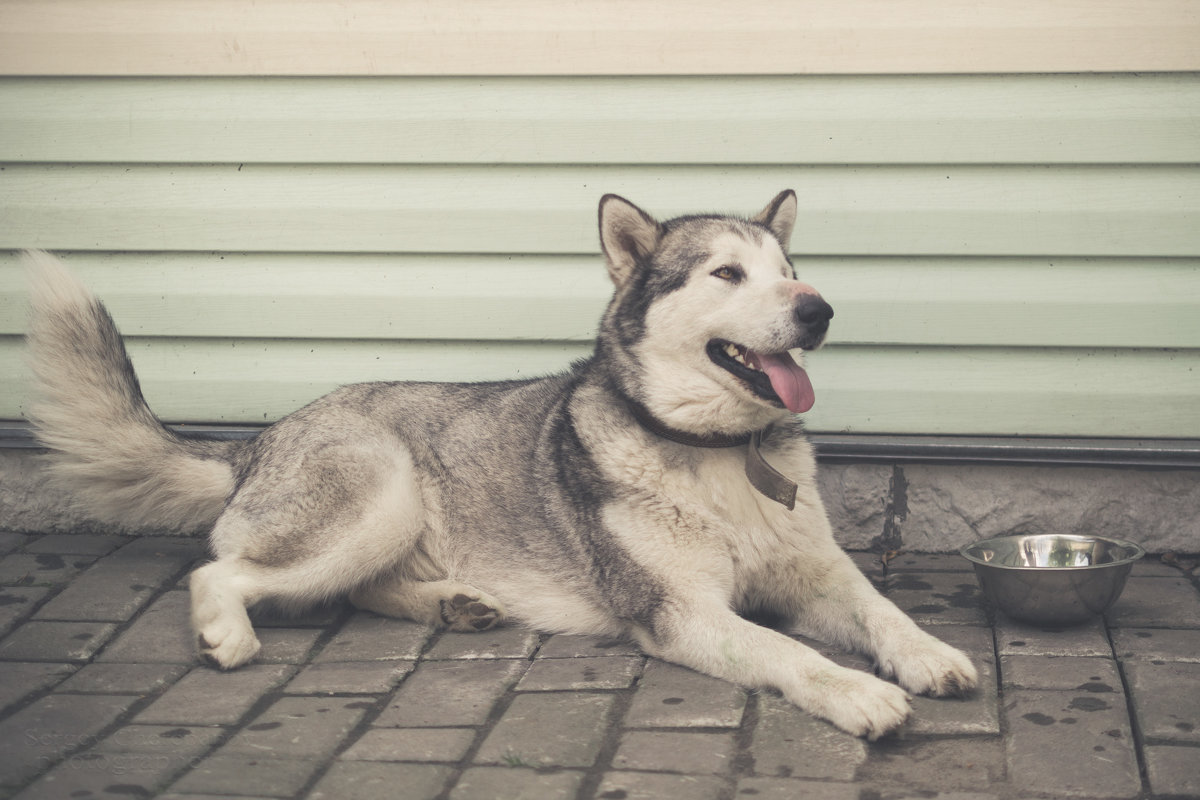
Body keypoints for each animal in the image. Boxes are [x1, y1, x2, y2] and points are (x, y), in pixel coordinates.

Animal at [23, 191, 974, 738]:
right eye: (728, 273)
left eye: (790, 269)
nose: (818, 309)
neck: (716, 454)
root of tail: (260, 437)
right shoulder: (681, 612)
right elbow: (789, 652)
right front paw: (858, 693)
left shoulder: (818, 573)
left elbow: (883, 611)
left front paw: (929, 655)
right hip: (382, 493)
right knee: (222, 571)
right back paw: (229, 635)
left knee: (337, 590)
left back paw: (455, 604)